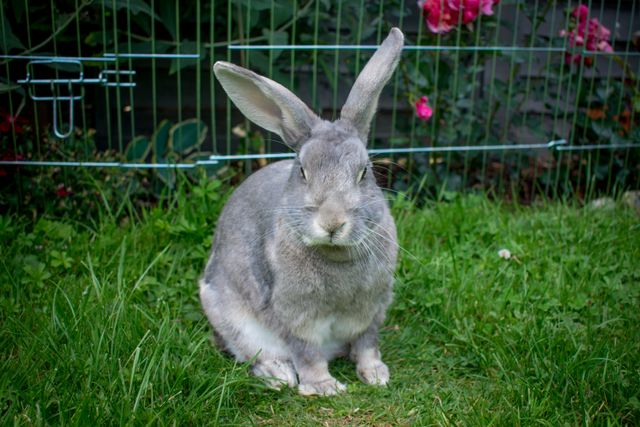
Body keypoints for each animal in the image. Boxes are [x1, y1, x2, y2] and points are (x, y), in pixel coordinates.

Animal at [199, 28, 403, 396]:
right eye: (303, 171)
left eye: (364, 172)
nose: (332, 223)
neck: (336, 255)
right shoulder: (295, 317)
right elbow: (307, 354)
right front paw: (324, 387)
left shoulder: (372, 311)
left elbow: (368, 344)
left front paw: (376, 375)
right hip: (230, 317)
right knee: (250, 354)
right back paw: (277, 375)